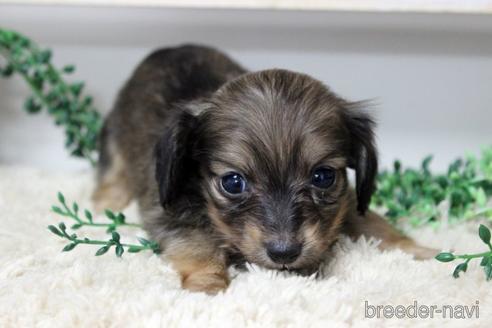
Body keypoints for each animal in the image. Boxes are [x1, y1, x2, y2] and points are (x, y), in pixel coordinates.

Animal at [93, 44, 434, 294]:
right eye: (233, 183)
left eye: (323, 177)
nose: (284, 254)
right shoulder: (170, 212)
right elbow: (197, 245)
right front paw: (207, 285)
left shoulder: (346, 200)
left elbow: (376, 225)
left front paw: (419, 250)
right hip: (113, 136)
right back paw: (106, 202)